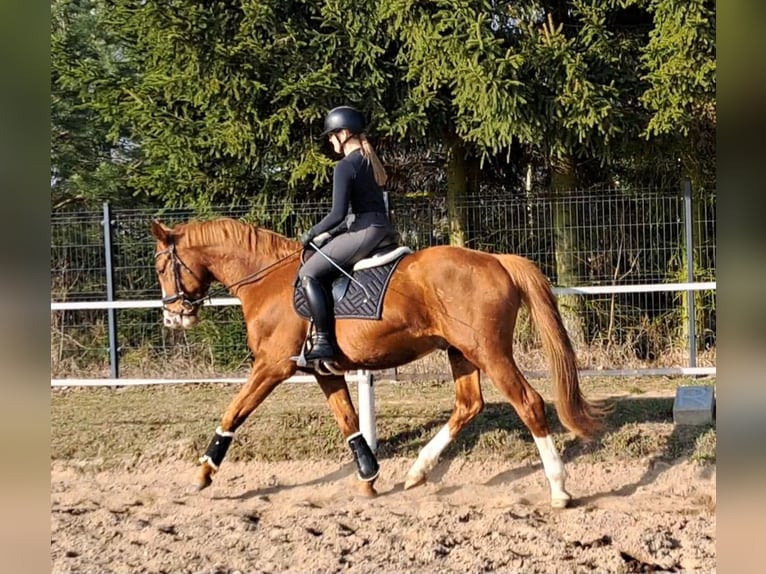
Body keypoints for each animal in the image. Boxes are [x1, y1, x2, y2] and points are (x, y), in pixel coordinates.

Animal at [150, 217, 608, 508]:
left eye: (159, 266)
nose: (173, 317)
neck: (266, 280)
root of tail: (497, 260)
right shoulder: (323, 372)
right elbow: (348, 420)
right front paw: (368, 477)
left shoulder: (272, 366)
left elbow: (234, 411)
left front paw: (204, 472)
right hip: (460, 352)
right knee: (468, 405)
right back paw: (418, 471)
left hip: (490, 353)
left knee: (528, 403)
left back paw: (558, 489)